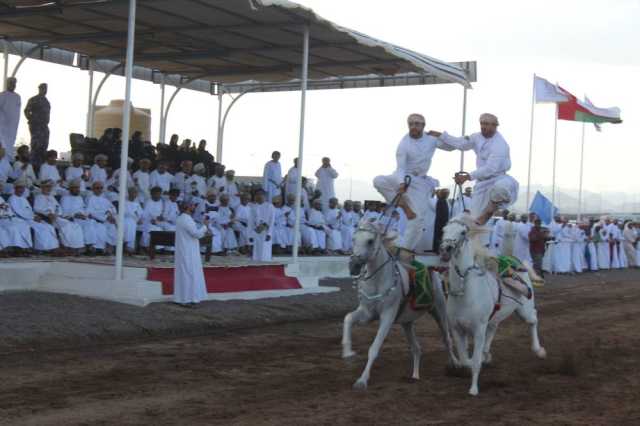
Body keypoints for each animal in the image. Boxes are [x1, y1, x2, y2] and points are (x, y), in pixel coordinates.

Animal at [342, 220, 458, 390]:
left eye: (370, 241)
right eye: (353, 239)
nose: (354, 265)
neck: (378, 281)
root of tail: (431, 270)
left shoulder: (387, 316)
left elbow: (374, 348)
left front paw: (362, 380)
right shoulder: (367, 313)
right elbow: (348, 318)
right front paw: (348, 352)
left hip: (439, 310)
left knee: (446, 339)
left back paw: (455, 364)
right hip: (407, 323)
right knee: (416, 348)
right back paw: (415, 376)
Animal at [440, 215, 552, 398]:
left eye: (463, 232)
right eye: (444, 230)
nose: (446, 249)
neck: (466, 292)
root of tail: (518, 262)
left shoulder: (478, 328)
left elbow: (475, 361)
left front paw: (473, 389)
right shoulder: (457, 329)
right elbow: (465, 360)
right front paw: (477, 361)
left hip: (524, 309)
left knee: (533, 320)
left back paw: (539, 350)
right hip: (494, 318)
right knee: (493, 331)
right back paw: (487, 355)